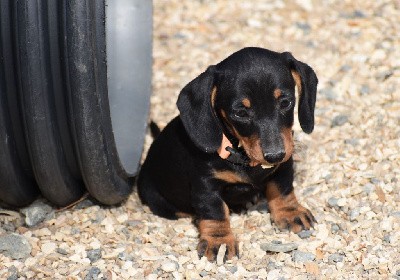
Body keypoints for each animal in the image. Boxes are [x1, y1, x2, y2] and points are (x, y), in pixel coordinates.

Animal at [138, 47, 318, 260]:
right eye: (240, 113)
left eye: (285, 102)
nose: (275, 155)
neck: (242, 157)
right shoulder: (206, 186)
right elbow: (215, 212)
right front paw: (219, 240)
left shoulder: (283, 167)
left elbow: (282, 189)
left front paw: (289, 212)